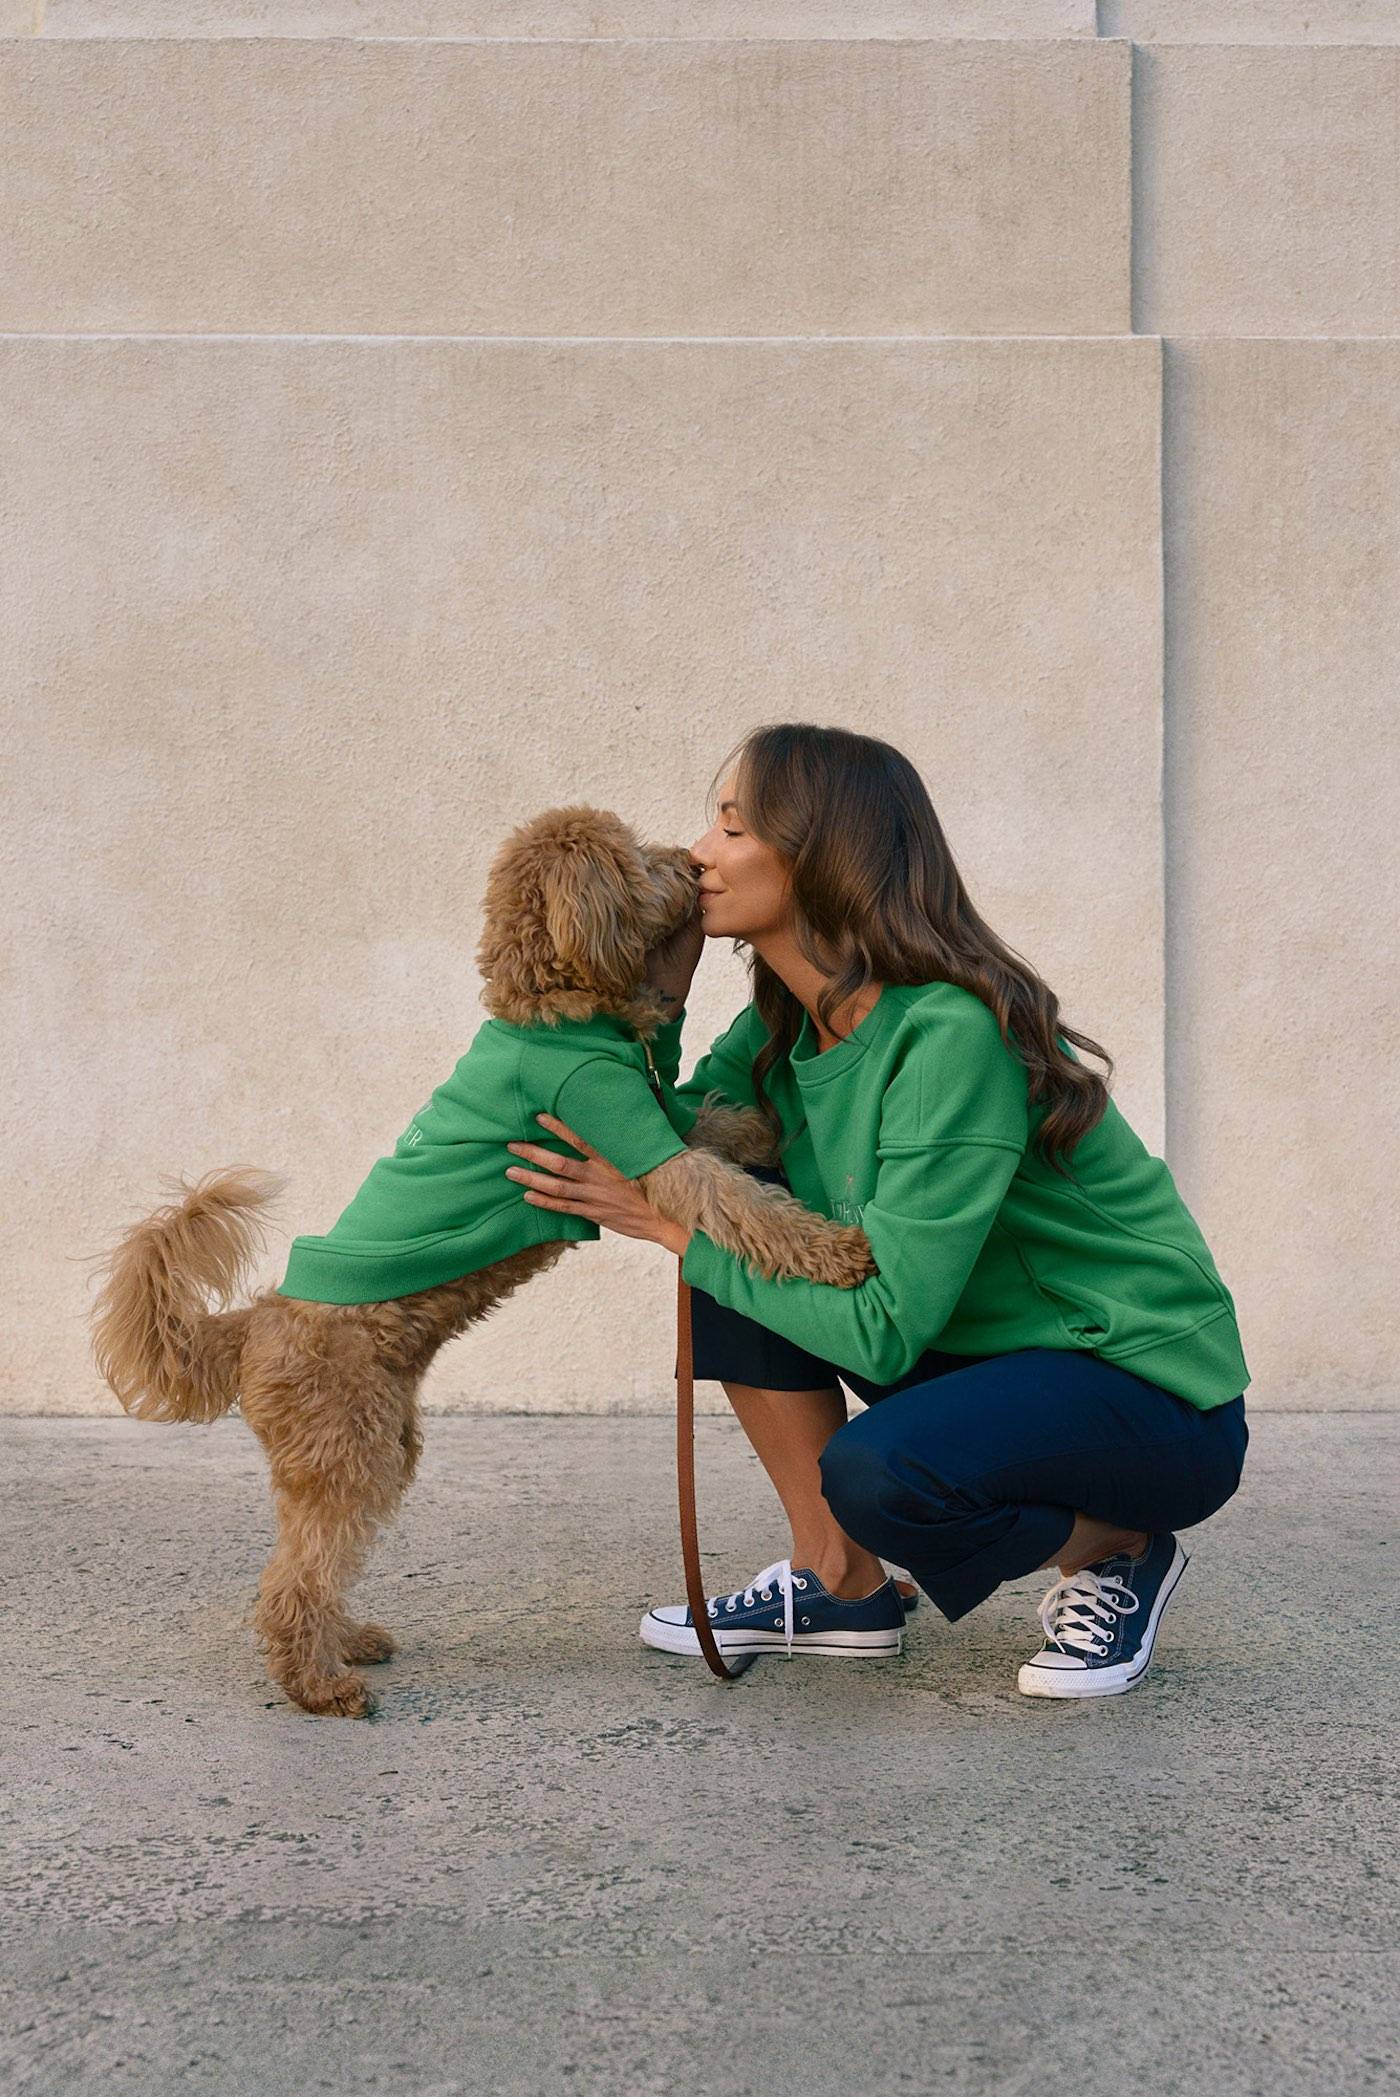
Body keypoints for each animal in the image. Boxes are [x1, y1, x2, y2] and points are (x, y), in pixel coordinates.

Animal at [90, 805, 876, 1719]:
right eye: (635, 859)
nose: (689, 859)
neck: (552, 1007)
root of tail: (254, 1320)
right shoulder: (617, 1124)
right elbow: (730, 1195)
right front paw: (835, 1249)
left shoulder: (645, 1113)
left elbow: (707, 1123)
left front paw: (759, 1126)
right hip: (345, 1449)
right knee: (294, 1575)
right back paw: (320, 1683)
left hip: (379, 1445)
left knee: (323, 1556)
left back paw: (347, 1638)